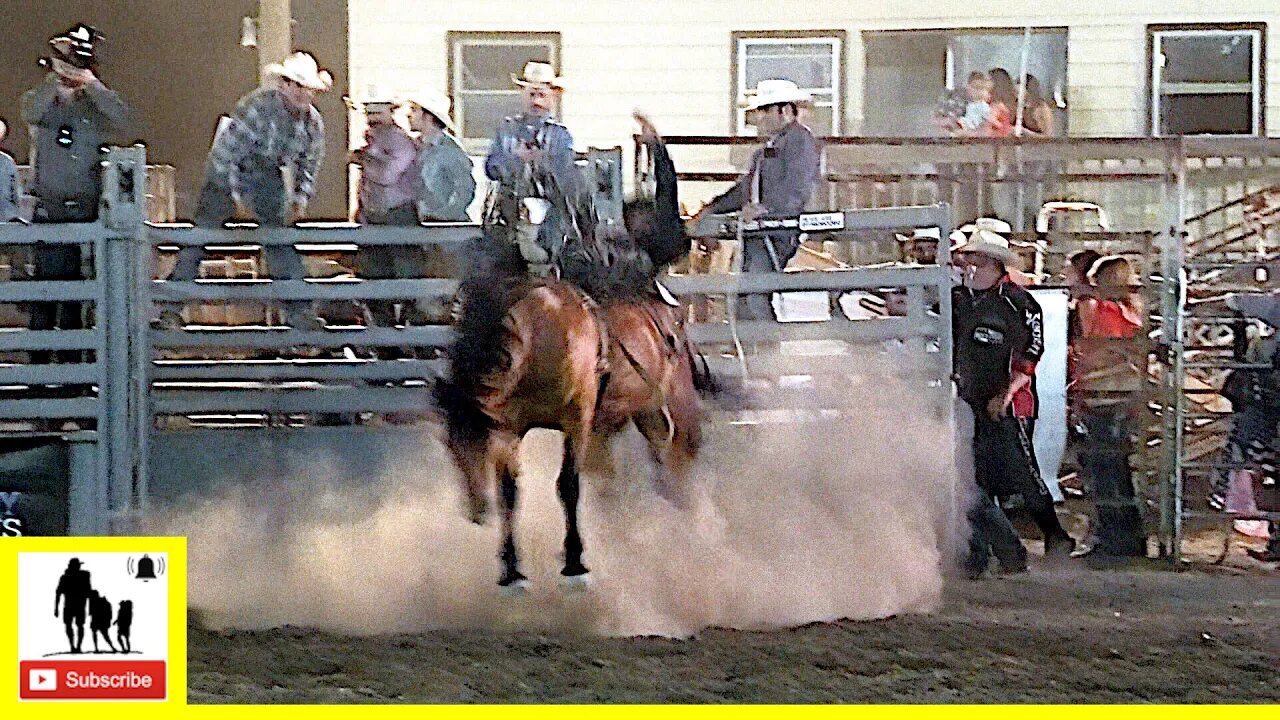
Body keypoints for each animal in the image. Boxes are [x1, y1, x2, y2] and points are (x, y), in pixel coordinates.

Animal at [435, 265, 604, 589]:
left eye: (481, 444)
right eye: (448, 445)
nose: (476, 510)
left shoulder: (579, 418)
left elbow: (568, 485)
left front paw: (574, 563)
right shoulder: (507, 427)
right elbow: (509, 493)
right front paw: (511, 570)